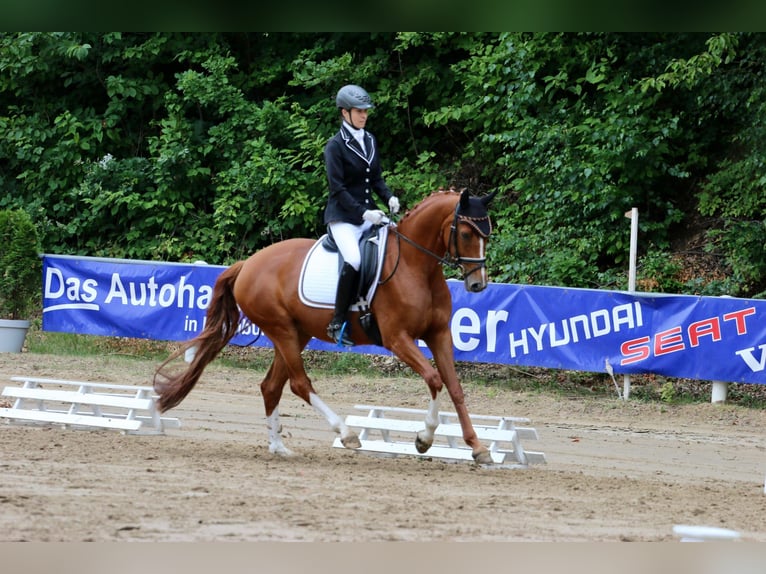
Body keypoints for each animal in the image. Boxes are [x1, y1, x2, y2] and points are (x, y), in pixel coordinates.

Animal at [156, 189, 500, 468]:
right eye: (466, 233)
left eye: (488, 232)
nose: (478, 285)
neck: (416, 266)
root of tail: (247, 264)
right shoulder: (397, 339)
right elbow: (433, 378)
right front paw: (423, 438)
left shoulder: (438, 334)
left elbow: (454, 387)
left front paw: (478, 448)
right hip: (281, 330)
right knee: (299, 384)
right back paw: (346, 433)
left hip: (296, 333)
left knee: (271, 386)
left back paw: (279, 448)